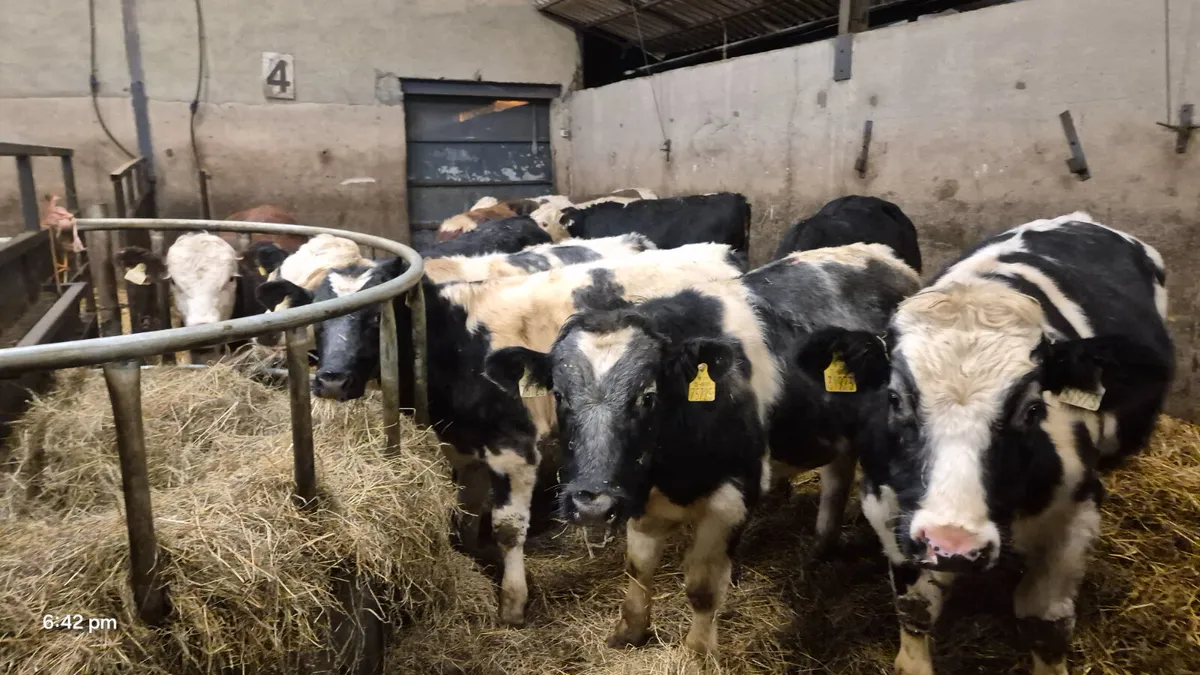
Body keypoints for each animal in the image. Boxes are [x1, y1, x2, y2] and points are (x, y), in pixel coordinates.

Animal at [257, 243, 747, 626]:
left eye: (376, 319)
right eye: (319, 318)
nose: (332, 380)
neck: (462, 340)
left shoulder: (514, 445)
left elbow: (508, 527)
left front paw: (512, 602)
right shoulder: (461, 442)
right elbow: (467, 509)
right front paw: (473, 556)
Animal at [483, 242, 921, 654]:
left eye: (648, 396)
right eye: (559, 394)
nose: (592, 502)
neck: (671, 471)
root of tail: (879, 255)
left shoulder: (733, 498)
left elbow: (702, 588)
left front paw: (697, 652)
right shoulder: (640, 496)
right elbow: (638, 567)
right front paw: (630, 631)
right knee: (837, 473)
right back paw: (820, 546)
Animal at [793, 213, 1173, 675]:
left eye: (1032, 409)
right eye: (895, 398)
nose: (954, 544)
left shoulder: (1075, 517)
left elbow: (1046, 624)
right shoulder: (887, 508)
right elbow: (915, 606)